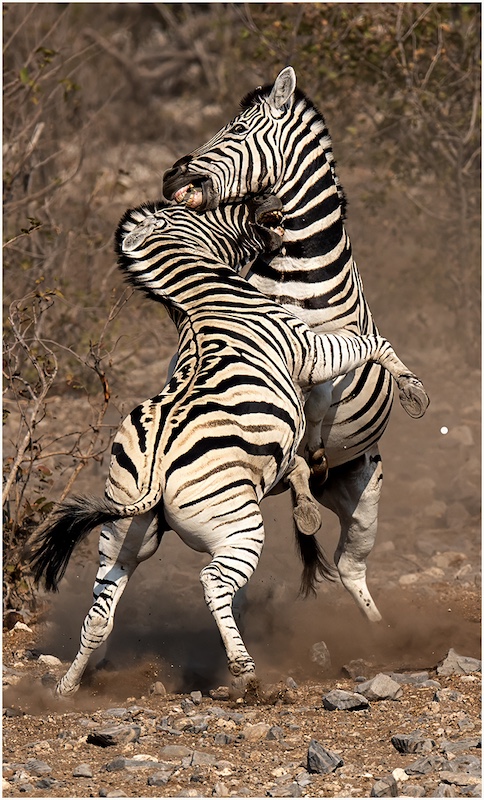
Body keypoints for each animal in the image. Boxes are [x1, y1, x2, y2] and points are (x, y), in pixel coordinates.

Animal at [28, 196, 428, 696]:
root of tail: (155, 473)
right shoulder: (311, 350)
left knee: (101, 611)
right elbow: (372, 342)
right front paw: (413, 391)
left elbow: (300, 459)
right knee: (213, 582)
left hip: (123, 533)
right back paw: (245, 670)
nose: (269, 205)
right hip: (237, 527)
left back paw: (67, 686)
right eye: (212, 209)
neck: (205, 293)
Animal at [163, 66, 430, 624]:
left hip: (362, 488)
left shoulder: (330, 364)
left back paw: (378, 631)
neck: (295, 276)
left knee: (350, 565)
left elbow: (320, 391)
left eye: (237, 131)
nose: (172, 179)